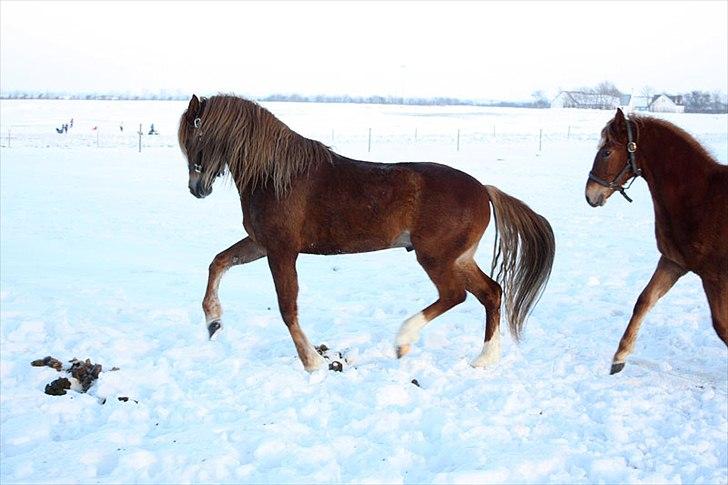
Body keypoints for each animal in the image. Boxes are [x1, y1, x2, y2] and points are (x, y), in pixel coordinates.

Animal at [179, 94, 556, 370]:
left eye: (197, 137)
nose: (196, 189)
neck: (275, 176)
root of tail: (484, 189)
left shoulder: (282, 249)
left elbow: (287, 307)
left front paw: (312, 362)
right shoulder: (261, 244)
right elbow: (219, 262)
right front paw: (213, 321)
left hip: (435, 257)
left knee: (455, 295)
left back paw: (403, 342)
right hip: (459, 258)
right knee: (491, 293)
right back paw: (484, 360)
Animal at [584, 108, 728, 374]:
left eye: (606, 151)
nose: (590, 194)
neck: (701, 198)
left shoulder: (715, 277)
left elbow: (722, 326)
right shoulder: (673, 263)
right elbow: (644, 300)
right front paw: (619, 357)